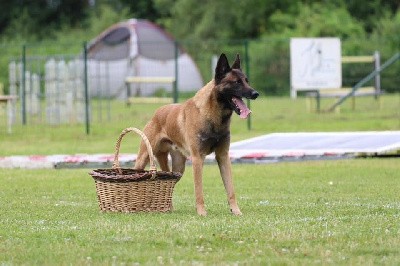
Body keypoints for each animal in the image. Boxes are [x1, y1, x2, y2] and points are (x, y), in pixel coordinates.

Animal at [134, 53, 260, 215]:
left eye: (246, 81)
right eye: (237, 82)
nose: (256, 94)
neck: (214, 116)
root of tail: (157, 113)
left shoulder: (223, 157)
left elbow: (231, 189)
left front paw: (236, 211)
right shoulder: (198, 159)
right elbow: (199, 190)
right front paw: (202, 213)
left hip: (179, 168)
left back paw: (169, 208)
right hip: (143, 158)